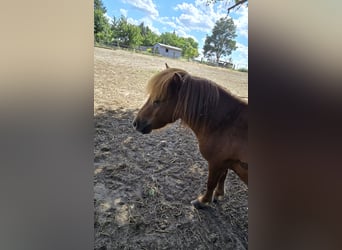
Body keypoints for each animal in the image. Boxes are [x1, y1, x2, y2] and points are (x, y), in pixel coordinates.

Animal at [132, 64, 247, 209]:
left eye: (157, 101)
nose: (136, 123)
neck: (227, 123)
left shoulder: (215, 163)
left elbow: (211, 183)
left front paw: (203, 201)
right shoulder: (224, 162)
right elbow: (223, 177)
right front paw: (219, 194)